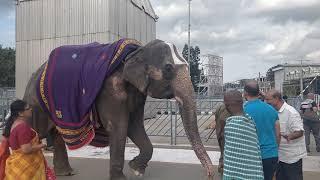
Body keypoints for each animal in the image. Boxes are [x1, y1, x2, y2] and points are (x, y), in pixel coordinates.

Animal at [21, 38, 212, 179]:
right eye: (168, 68)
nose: (209, 175)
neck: (137, 52)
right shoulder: (110, 91)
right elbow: (120, 126)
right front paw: (123, 177)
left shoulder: (137, 93)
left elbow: (134, 125)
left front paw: (136, 169)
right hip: (36, 102)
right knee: (36, 129)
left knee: (57, 134)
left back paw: (66, 173)